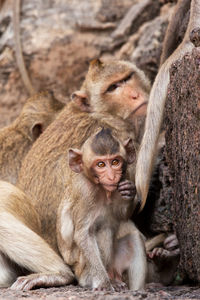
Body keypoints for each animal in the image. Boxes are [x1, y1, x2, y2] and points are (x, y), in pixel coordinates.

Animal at [56, 127, 147, 292]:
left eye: (115, 162)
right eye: (101, 165)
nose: (111, 177)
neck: (102, 190)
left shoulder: (127, 175)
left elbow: (121, 215)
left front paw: (129, 192)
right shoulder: (85, 193)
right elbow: (83, 234)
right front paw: (104, 284)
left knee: (133, 238)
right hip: (82, 270)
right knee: (100, 230)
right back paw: (105, 280)